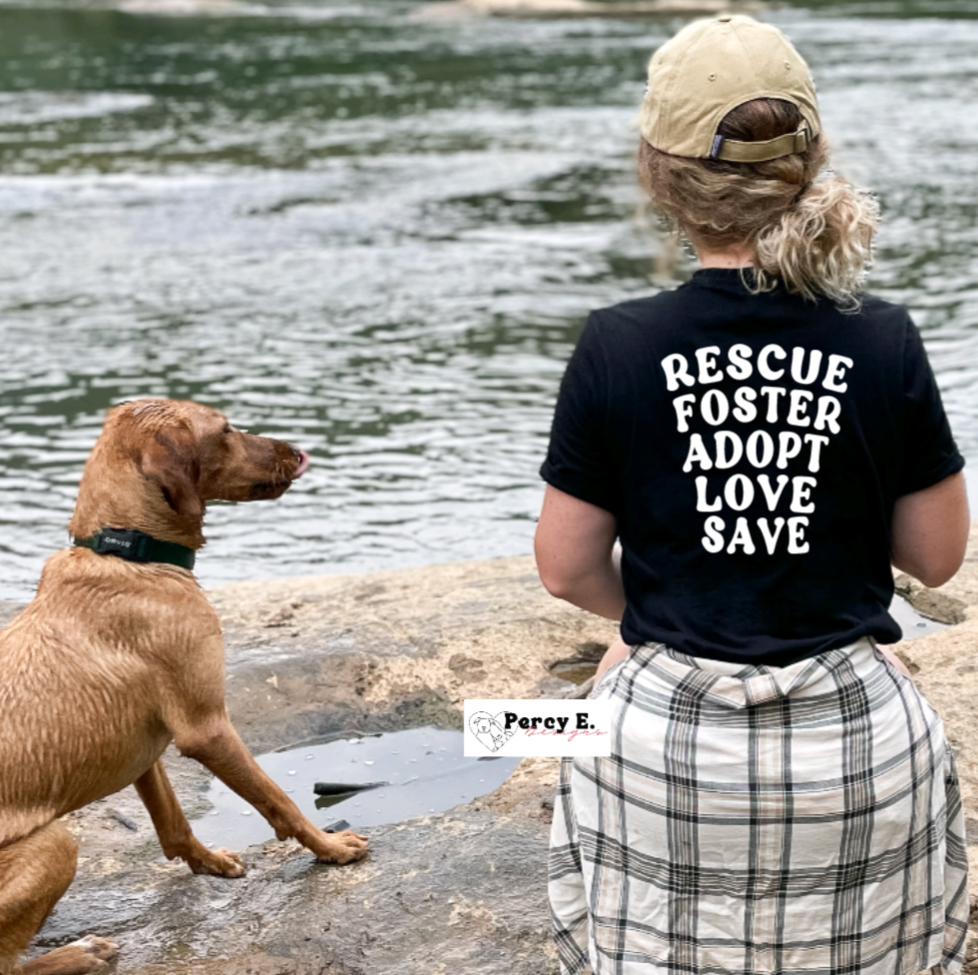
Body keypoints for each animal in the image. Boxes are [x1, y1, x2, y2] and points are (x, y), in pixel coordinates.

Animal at [0, 398, 366, 975]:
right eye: (226, 429)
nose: (298, 450)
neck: (128, 555)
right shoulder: (207, 727)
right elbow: (276, 798)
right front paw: (327, 848)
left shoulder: (150, 746)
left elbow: (172, 822)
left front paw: (209, 862)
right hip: (55, 841)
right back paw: (83, 952)